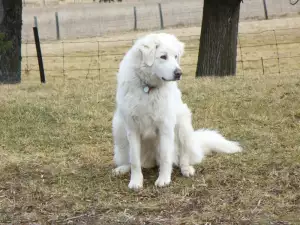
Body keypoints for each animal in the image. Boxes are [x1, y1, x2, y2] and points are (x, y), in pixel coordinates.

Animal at [112, 32, 241, 189]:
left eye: (176, 56)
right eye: (163, 56)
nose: (179, 73)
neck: (148, 88)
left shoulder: (166, 127)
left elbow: (165, 157)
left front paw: (164, 180)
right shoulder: (132, 128)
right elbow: (135, 160)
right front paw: (136, 182)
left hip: (183, 126)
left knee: (183, 158)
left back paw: (187, 170)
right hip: (119, 128)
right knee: (132, 160)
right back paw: (122, 168)